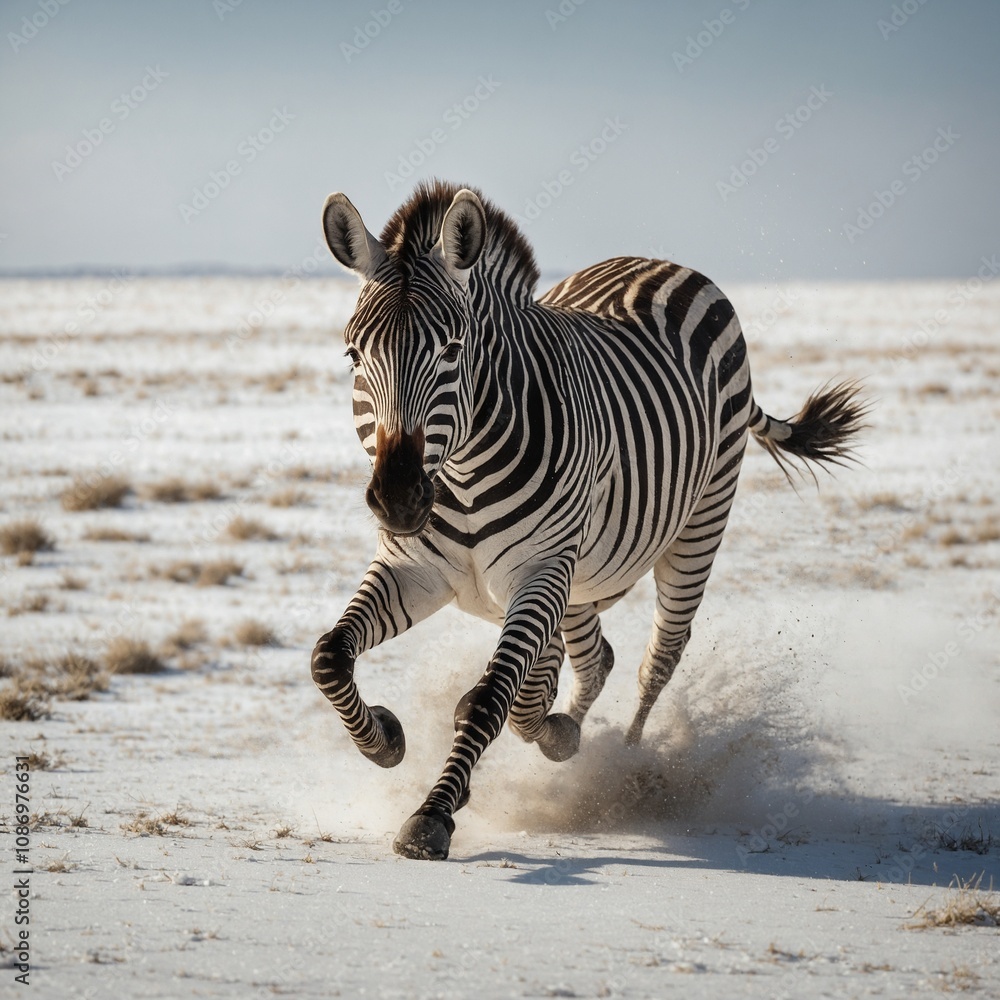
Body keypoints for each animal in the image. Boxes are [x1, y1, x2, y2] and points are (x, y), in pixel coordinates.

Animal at [311, 179, 864, 861]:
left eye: (452, 351)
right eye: (353, 354)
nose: (399, 499)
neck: (460, 476)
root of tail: (657, 263)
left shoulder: (542, 570)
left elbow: (490, 699)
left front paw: (434, 814)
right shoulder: (414, 567)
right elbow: (331, 655)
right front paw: (386, 739)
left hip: (694, 531)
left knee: (657, 659)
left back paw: (626, 766)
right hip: (582, 575)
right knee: (595, 658)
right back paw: (562, 727)